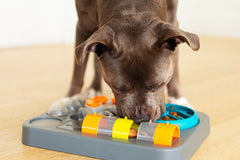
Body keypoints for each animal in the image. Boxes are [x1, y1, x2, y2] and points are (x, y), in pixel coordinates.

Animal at [48, 0, 199, 124]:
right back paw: (94, 88)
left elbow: (175, 68)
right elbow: (78, 70)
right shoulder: (83, 25)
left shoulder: (172, 21)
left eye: (158, 85)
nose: (141, 118)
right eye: (118, 88)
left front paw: (178, 98)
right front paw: (69, 98)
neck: (131, 7)